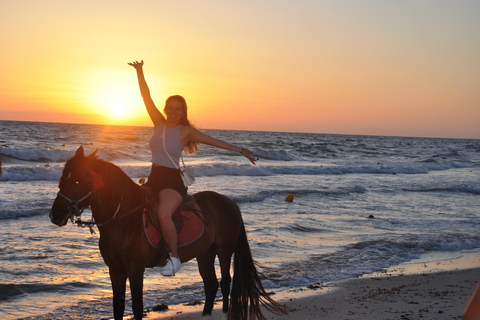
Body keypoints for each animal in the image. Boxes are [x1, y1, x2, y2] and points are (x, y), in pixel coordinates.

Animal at [50, 148, 286, 320]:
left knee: (226, 282)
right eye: (62, 177)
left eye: (78, 180)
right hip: (205, 254)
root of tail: (230, 203)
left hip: (224, 250)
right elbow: (118, 307)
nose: (55, 215)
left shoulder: (135, 270)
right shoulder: (115, 270)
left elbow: (137, 307)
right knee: (211, 285)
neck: (123, 221)